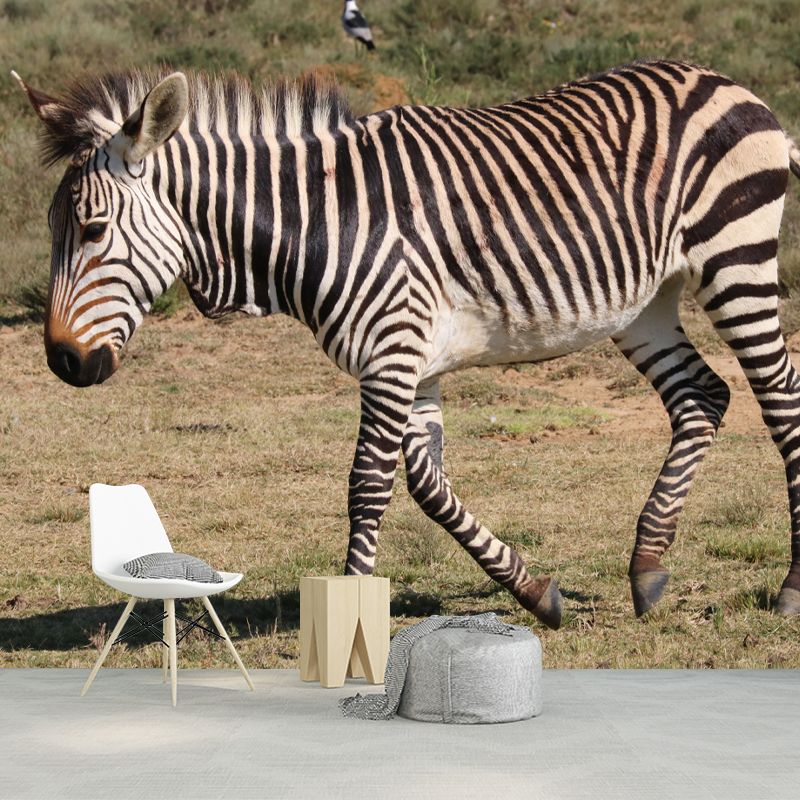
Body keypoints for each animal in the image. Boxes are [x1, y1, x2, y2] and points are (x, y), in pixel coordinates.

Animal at [14, 60, 800, 630]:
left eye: (92, 231)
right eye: (52, 231)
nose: (62, 361)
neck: (319, 219)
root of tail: (725, 82)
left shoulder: (392, 349)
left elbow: (368, 484)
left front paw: (350, 615)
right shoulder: (412, 361)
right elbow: (426, 483)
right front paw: (535, 591)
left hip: (735, 260)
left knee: (780, 401)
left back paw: (789, 590)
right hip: (646, 302)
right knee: (703, 396)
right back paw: (647, 568)